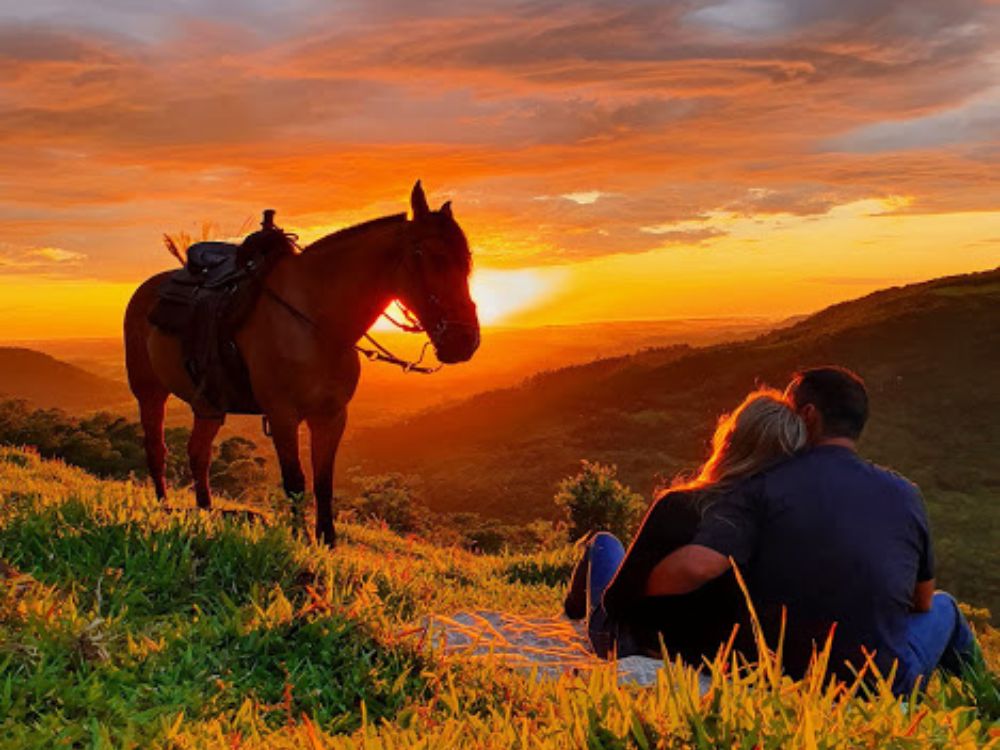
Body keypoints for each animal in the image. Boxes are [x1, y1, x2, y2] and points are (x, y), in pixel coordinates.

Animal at [123, 182, 482, 548]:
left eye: (466, 261)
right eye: (429, 255)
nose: (464, 340)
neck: (315, 322)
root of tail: (146, 289)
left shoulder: (331, 416)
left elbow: (323, 482)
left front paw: (327, 542)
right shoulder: (283, 415)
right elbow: (295, 481)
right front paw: (297, 538)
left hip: (208, 403)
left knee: (199, 453)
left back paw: (206, 513)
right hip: (149, 392)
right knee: (157, 449)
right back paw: (164, 507)